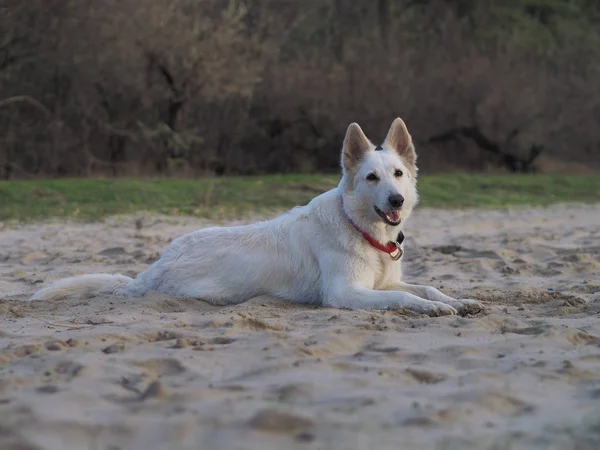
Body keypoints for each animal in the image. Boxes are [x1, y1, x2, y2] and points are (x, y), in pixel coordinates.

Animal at [31, 119, 482, 316]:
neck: (359, 229)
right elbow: (406, 297)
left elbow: (428, 287)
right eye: (372, 177)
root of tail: (152, 269)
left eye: (399, 174)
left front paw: (458, 301)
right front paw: (434, 309)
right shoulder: (346, 294)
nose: (396, 200)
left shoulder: (387, 281)